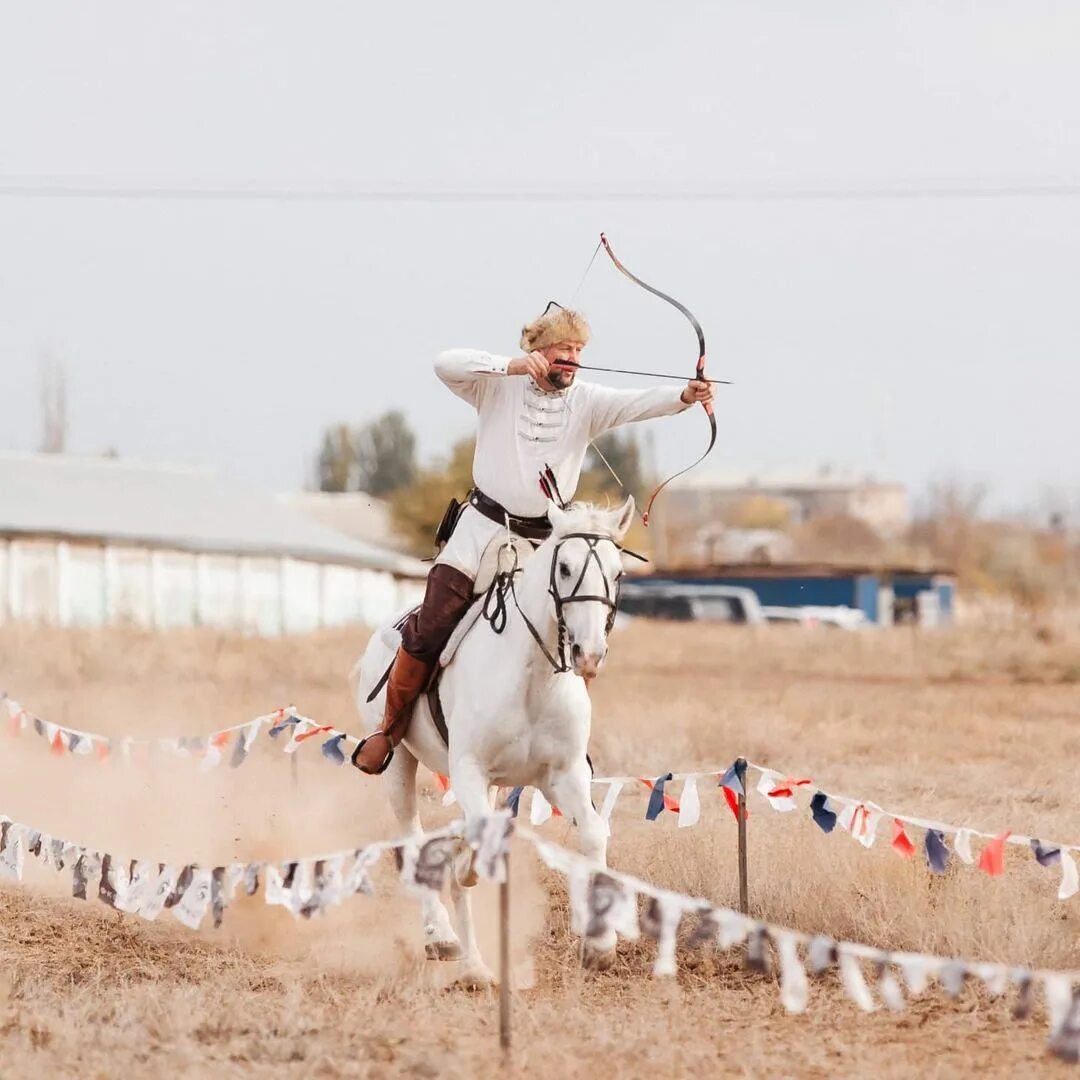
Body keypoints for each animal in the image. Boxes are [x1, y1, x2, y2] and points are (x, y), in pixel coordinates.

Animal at [349, 494, 635, 984]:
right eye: (564, 568)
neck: (533, 677)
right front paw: (461, 866)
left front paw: (599, 944)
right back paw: (443, 936)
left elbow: (594, 833)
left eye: (617, 573)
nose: (590, 654)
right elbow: (472, 847)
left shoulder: (561, 777)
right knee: (411, 841)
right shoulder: (469, 770)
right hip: (398, 761)